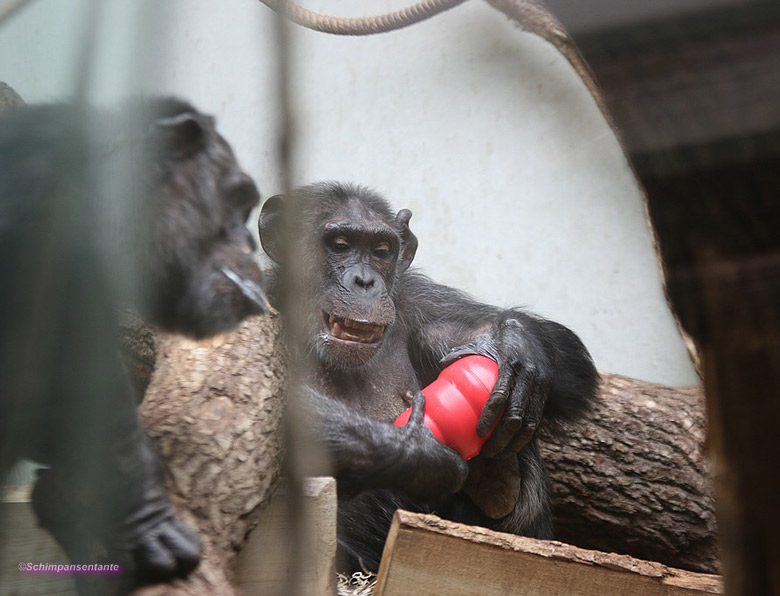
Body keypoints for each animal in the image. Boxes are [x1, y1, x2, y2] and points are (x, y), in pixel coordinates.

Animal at [258, 179, 600, 572]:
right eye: (340, 245)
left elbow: (566, 358)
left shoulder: (419, 298)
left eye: (382, 250)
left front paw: (517, 345)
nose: (364, 280)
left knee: (437, 336)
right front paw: (420, 453)